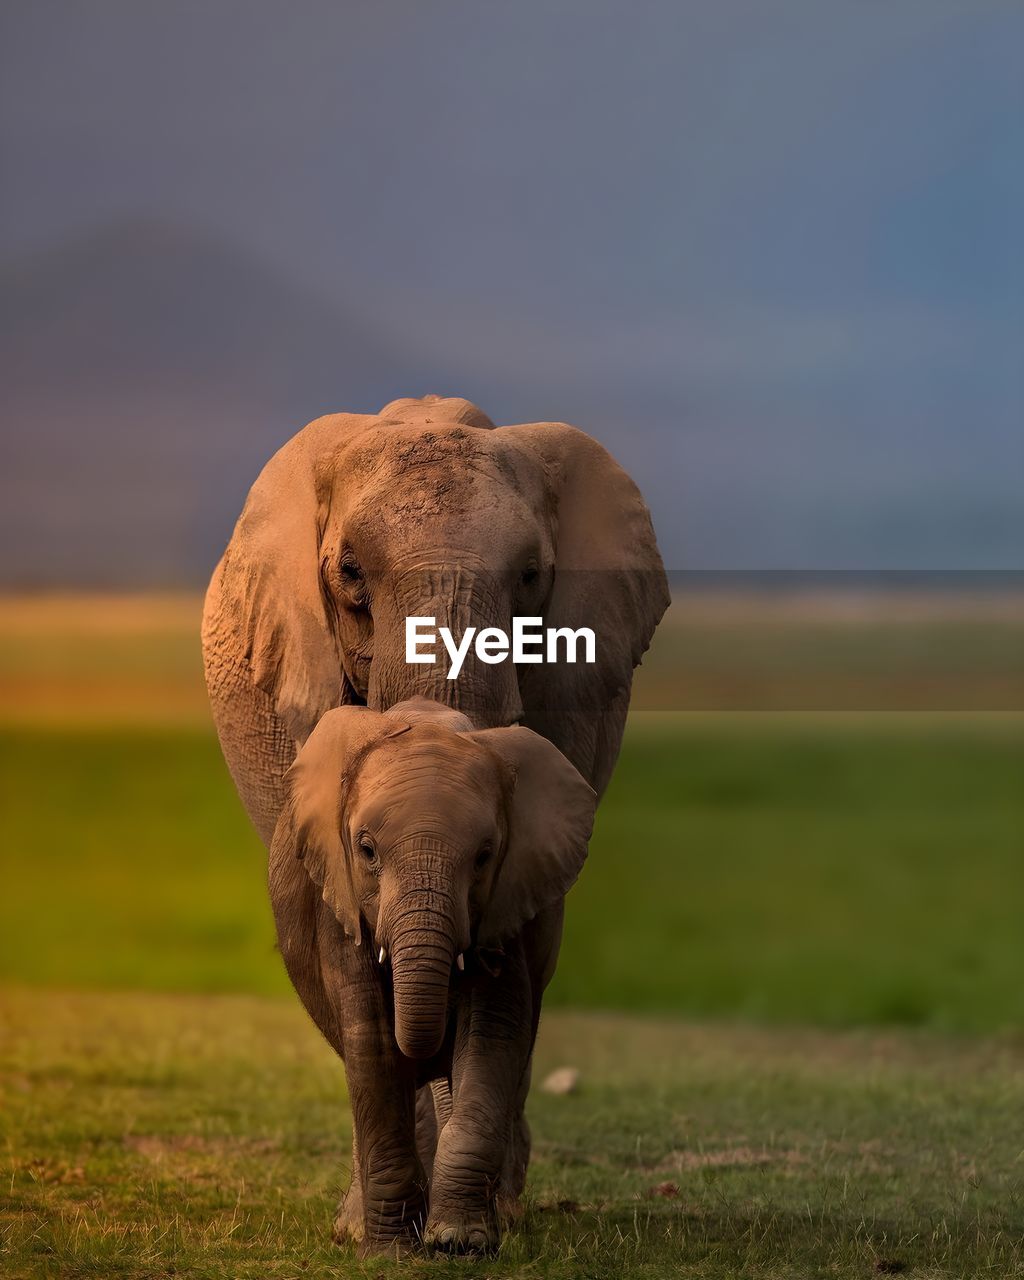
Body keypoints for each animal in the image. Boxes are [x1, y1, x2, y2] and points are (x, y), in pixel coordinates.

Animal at [270, 696, 596, 1253]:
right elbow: (371, 1041)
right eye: (366, 849)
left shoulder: (510, 899)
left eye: (484, 856)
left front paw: (459, 1241)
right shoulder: (339, 900)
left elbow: (491, 1034)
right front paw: (391, 1249)